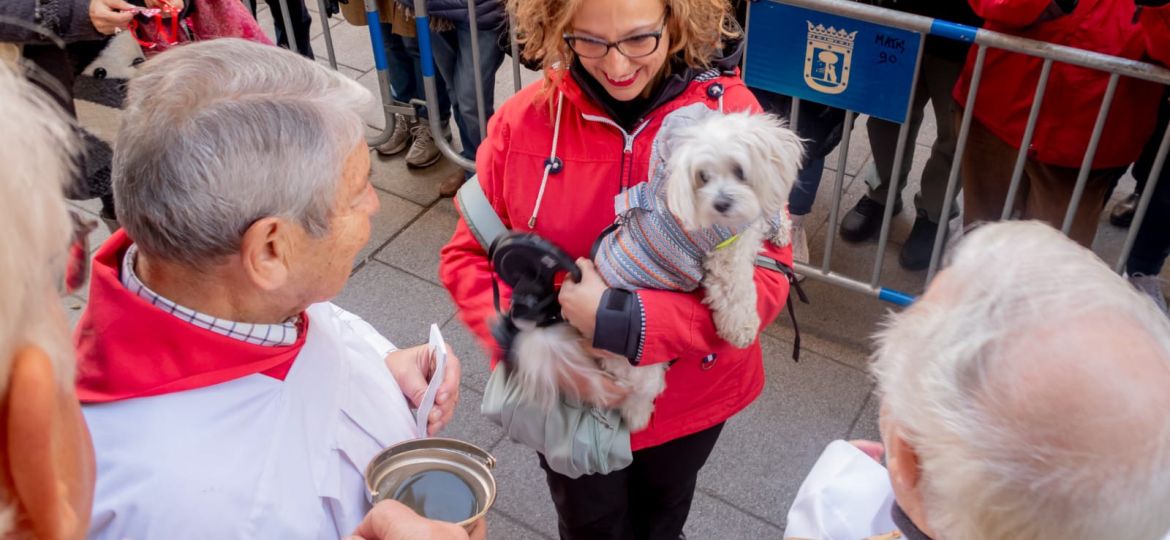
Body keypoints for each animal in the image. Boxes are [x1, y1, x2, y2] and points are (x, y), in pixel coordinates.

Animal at [512, 104, 804, 430]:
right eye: (703, 176)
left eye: (740, 170)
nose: (721, 204)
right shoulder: (724, 257)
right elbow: (735, 295)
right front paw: (742, 329)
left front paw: (781, 228)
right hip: (640, 368)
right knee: (633, 393)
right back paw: (637, 417)